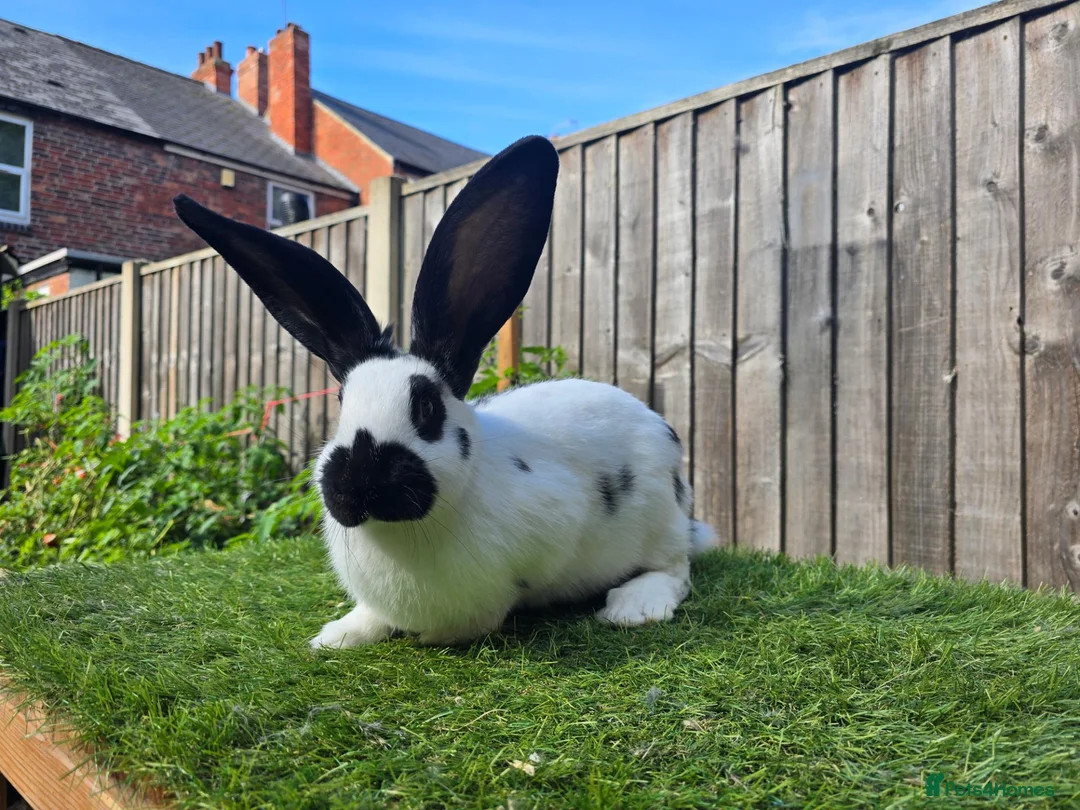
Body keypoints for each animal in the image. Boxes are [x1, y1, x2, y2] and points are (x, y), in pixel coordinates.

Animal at [173, 135, 718, 649]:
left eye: (426, 407)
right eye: (341, 403)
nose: (358, 485)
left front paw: (438, 636)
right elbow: (371, 617)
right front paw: (336, 637)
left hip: (660, 520)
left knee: (676, 568)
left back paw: (635, 606)